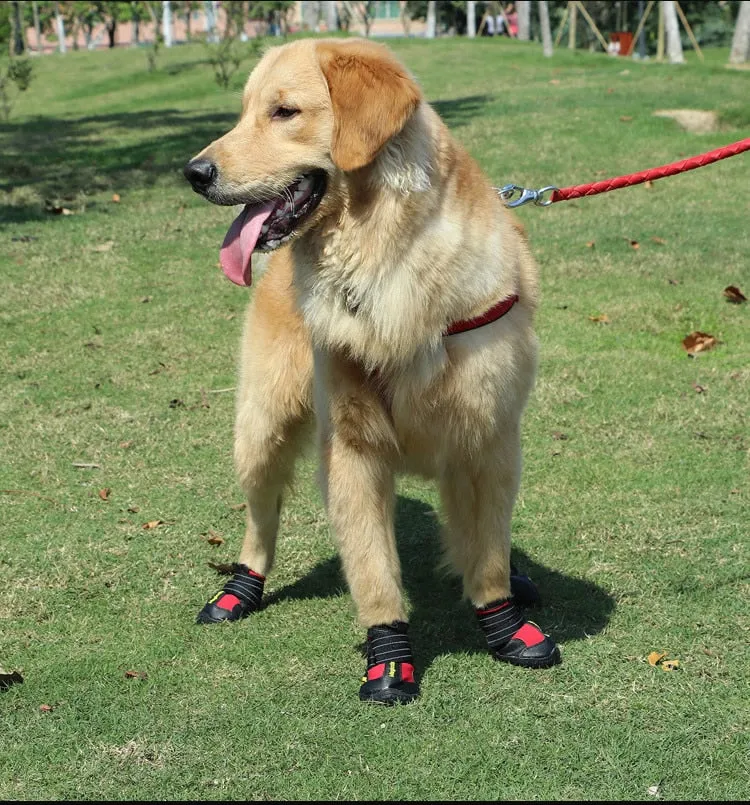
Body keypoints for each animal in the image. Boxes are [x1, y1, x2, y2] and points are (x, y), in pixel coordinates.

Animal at [185, 39, 560, 704]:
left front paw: (506, 624)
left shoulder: (488, 436)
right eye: (245, 112)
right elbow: (375, 570)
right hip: (260, 428)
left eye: (284, 111)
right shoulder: (354, 448)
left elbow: (488, 554)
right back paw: (238, 590)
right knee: (259, 523)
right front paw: (389, 658)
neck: (386, 257)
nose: (194, 172)